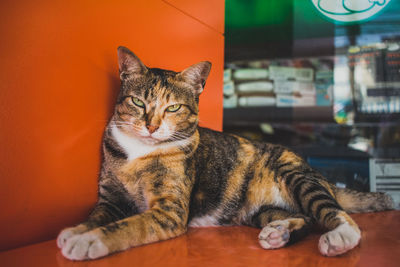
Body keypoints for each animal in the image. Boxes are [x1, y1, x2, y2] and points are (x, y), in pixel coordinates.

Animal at [56, 46, 394, 262]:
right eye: (138, 102)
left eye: (173, 107)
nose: (151, 126)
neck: (138, 153)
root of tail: (320, 175)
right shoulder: (110, 199)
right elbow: (97, 216)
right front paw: (76, 231)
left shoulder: (168, 212)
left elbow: (128, 225)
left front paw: (89, 241)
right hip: (259, 211)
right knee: (304, 218)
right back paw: (279, 233)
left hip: (297, 177)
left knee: (334, 213)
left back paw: (340, 237)